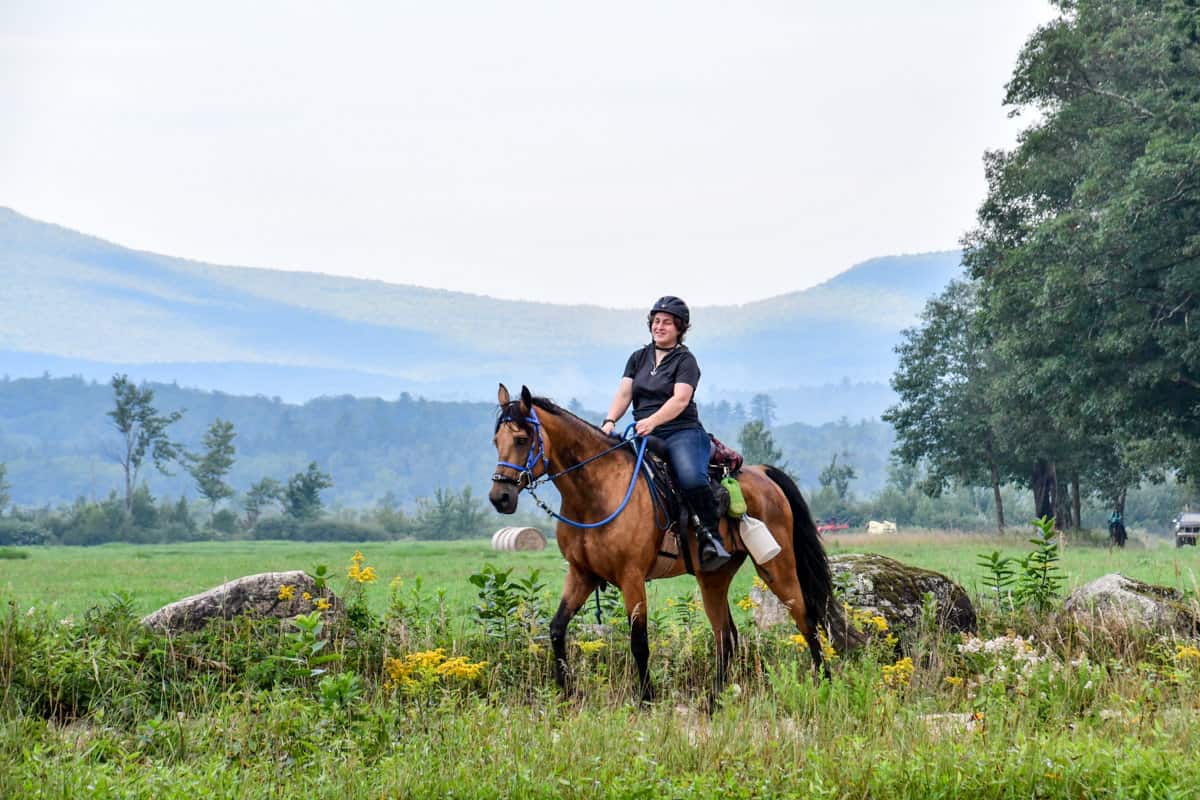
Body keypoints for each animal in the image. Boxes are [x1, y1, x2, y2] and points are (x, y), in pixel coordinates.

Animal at [487, 383, 835, 705]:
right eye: (496, 441)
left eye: (521, 439)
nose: (499, 497)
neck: (597, 491)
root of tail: (762, 474)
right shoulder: (581, 574)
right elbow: (557, 629)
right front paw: (567, 693)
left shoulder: (631, 577)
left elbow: (639, 641)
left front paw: (646, 698)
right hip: (713, 576)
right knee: (726, 636)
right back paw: (714, 700)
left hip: (776, 567)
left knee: (806, 620)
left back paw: (826, 685)